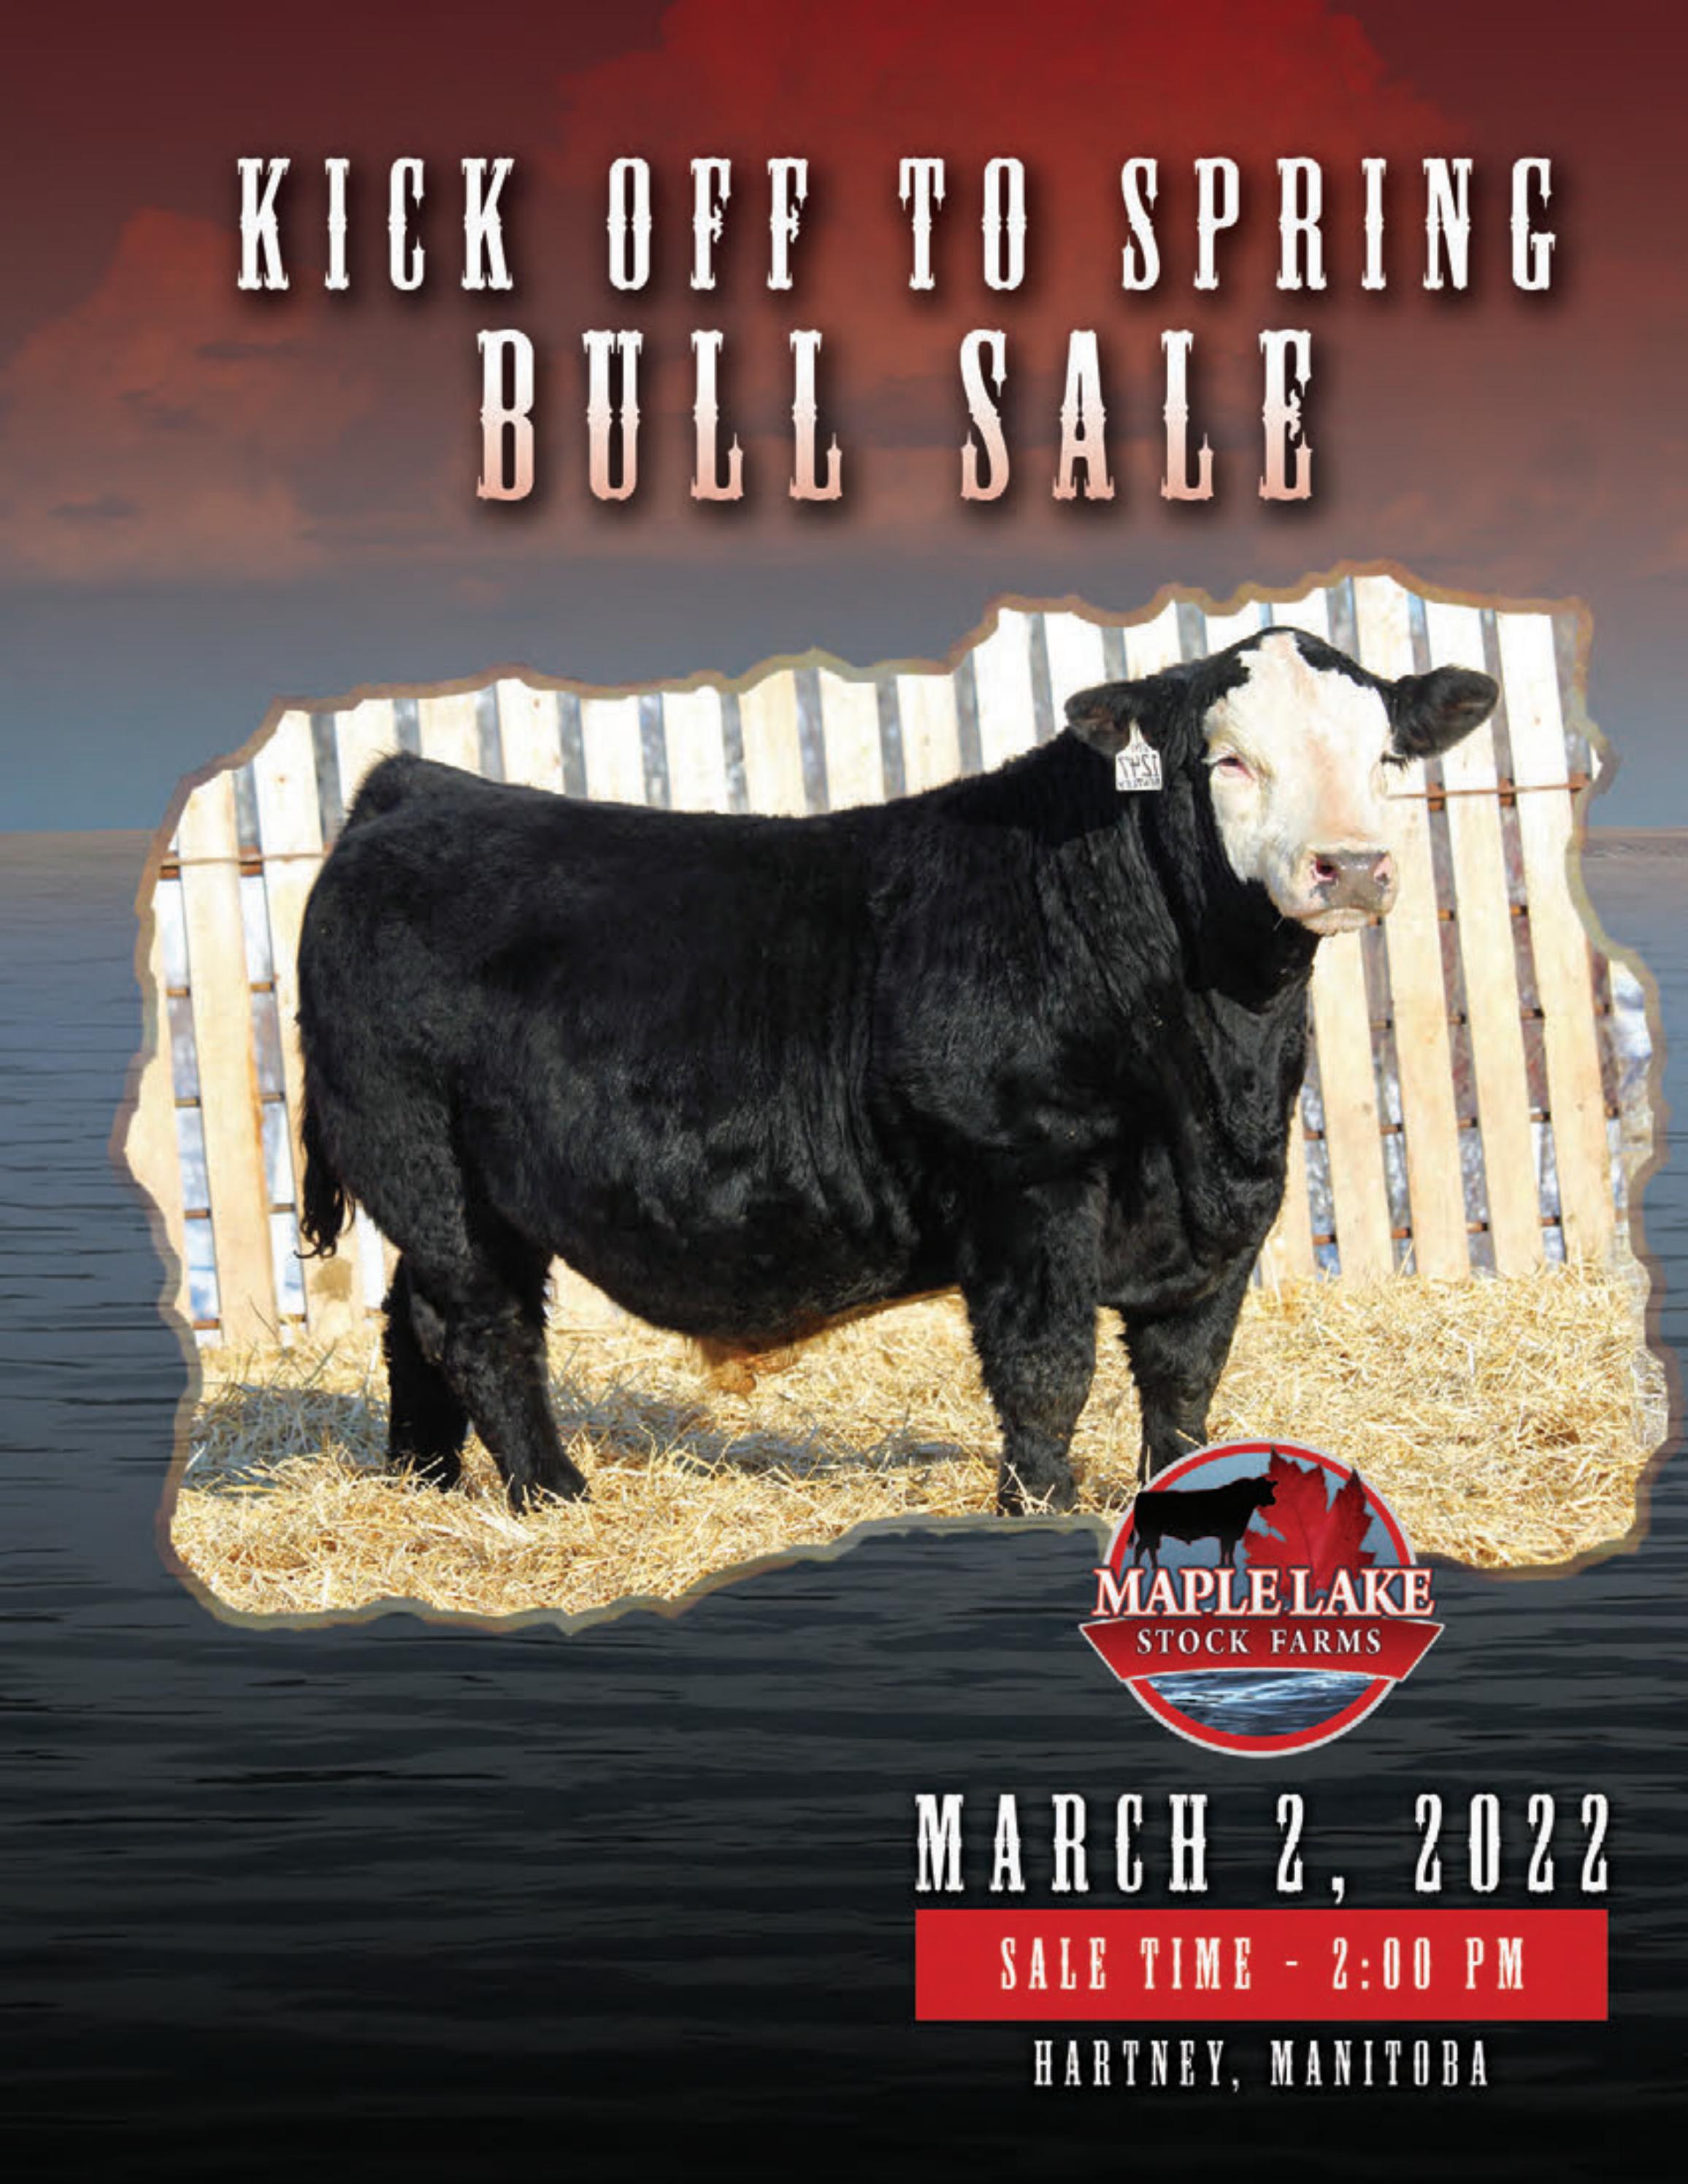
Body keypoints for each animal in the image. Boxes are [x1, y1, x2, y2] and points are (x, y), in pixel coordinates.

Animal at [295, 626, 1496, 1515]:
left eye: (1385, 759)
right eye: (1229, 760)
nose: (1351, 866)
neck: (1214, 1074)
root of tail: (416, 788)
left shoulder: (1229, 1217)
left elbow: (1185, 1379)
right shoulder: (1025, 1177)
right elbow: (1046, 1369)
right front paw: (1039, 1508)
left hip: (464, 1197)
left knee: (411, 1323)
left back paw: (423, 1484)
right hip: (424, 1166)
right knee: (479, 1324)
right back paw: (552, 1493)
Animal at [1129, 1472, 1278, 1570]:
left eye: (1269, 1488)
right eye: (1261, 1489)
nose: (1273, 1500)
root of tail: (1142, 1495)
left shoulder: (1232, 1535)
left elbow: (1229, 1550)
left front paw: (1231, 1565)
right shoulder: (1226, 1534)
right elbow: (1225, 1550)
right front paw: (1224, 1566)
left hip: (1153, 1534)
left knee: (1150, 1549)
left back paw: (1155, 1567)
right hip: (1149, 1533)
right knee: (1140, 1548)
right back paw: (1138, 1568)